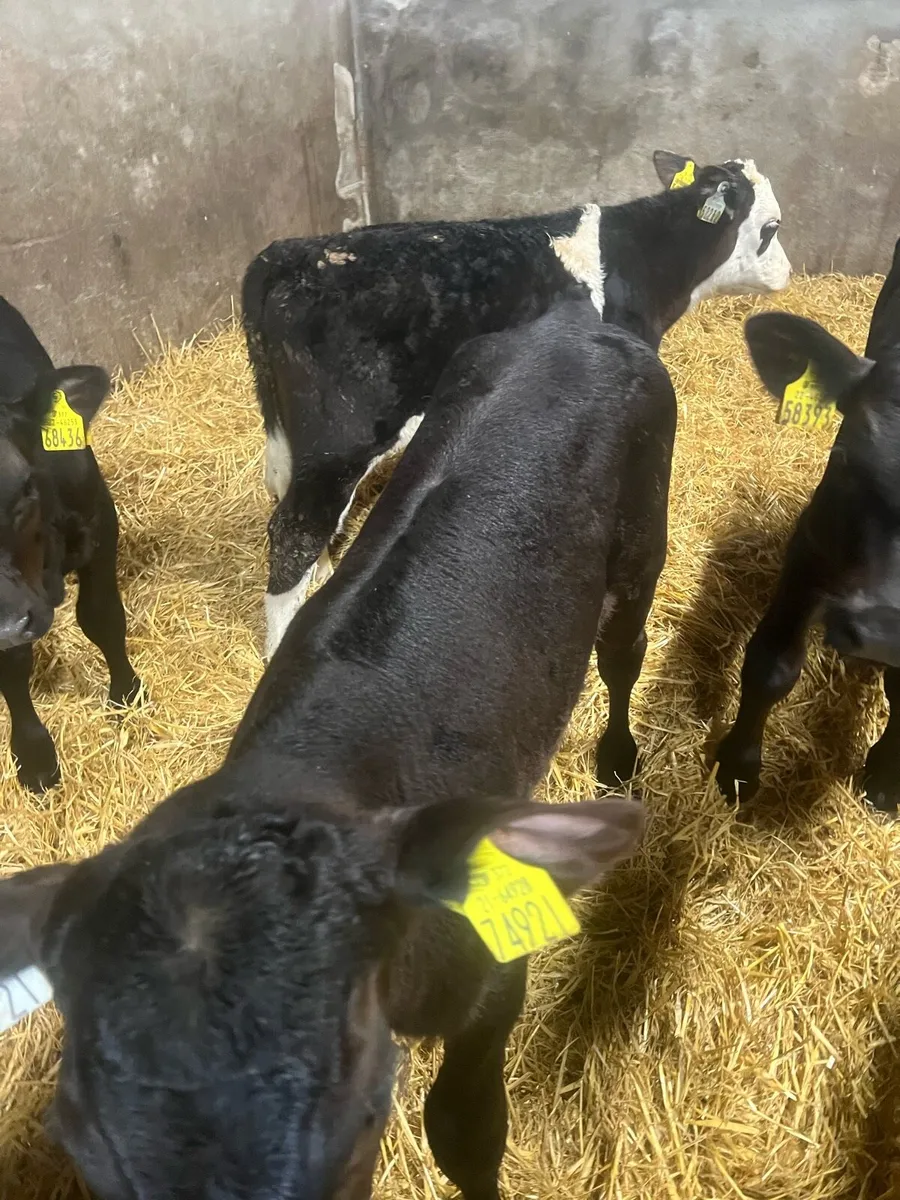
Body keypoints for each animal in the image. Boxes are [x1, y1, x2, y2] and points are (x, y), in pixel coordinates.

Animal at [0, 297, 141, 792]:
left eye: (23, 486)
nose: (8, 626)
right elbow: (12, 664)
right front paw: (36, 758)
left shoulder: (100, 524)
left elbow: (102, 617)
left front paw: (127, 694)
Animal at [243, 149, 791, 658]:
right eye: (772, 227)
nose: (787, 271)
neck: (636, 261)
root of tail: (286, 255)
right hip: (344, 437)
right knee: (294, 529)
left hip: (296, 439)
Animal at [714, 235, 900, 813]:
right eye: (845, 458)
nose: (883, 630)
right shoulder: (809, 549)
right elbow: (770, 666)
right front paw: (737, 768)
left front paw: (886, 778)